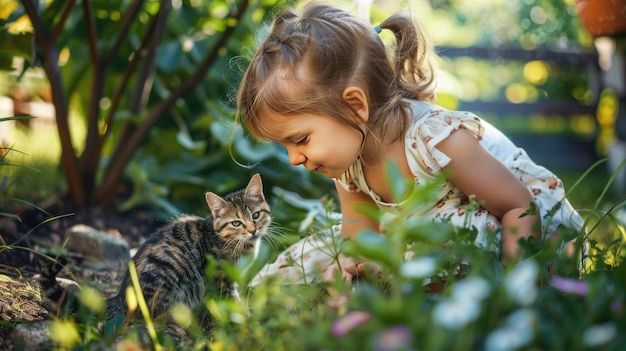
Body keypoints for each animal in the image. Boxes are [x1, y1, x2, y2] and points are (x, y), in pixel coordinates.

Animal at [37, 175, 270, 326]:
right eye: (237, 223)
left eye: (256, 215)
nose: (253, 230)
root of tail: (122, 299)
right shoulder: (220, 281)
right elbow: (230, 302)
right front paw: (244, 319)